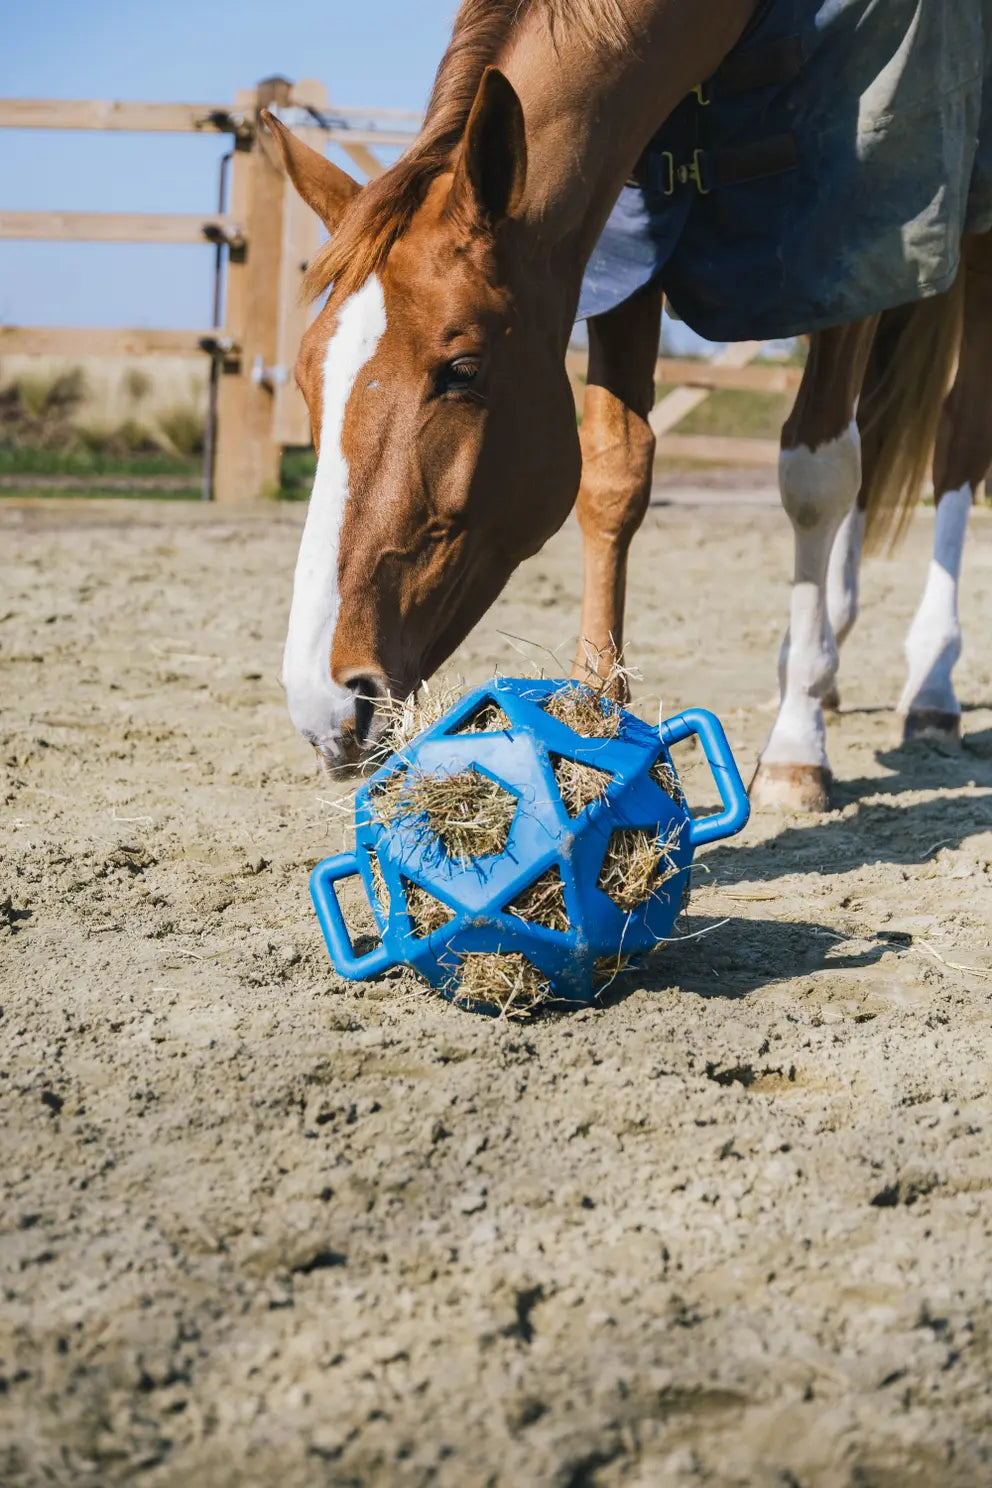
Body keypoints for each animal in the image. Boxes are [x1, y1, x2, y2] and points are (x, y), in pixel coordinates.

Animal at [263, 0, 989, 813]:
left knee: (959, 437)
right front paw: (591, 723)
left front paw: (797, 746)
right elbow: (613, 476)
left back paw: (930, 684)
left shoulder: (845, 244)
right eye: (305, 380)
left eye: (462, 369)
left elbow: (815, 479)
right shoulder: (627, 244)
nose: (326, 704)